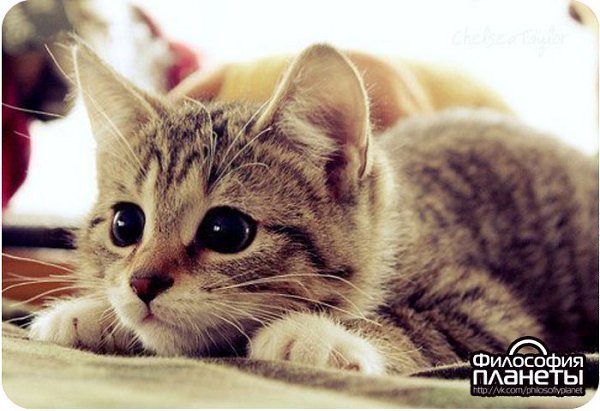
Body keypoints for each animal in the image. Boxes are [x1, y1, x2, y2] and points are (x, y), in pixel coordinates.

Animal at [28, 41, 598, 375]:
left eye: (225, 230)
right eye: (126, 224)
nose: (142, 283)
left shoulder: (490, 313)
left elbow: (426, 328)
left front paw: (313, 333)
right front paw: (91, 313)